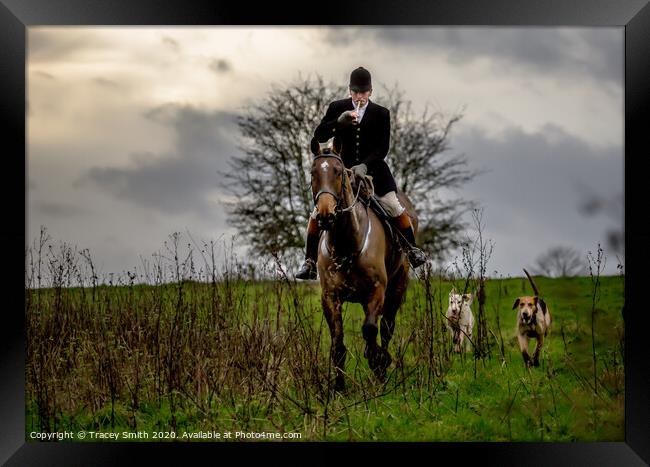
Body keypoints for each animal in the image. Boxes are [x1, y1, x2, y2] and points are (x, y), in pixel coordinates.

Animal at [308, 141, 410, 394]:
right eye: (313, 173)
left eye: (338, 172)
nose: (325, 215)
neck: (346, 242)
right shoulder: (330, 296)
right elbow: (337, 342)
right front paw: (339, 387)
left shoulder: (377, 291)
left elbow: (370, 329)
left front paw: (377, 363)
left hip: (397, 287)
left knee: (386, 327)